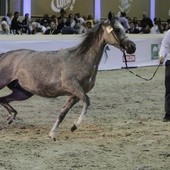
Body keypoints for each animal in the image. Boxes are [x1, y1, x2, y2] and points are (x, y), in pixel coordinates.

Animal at [0, 11, 135, 139]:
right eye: (117, 29)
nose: (132, 47)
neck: (80, 59)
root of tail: (4, 55)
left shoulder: (74, 95)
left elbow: (63, 113)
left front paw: (52, 134)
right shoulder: (73, 87)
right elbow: (87, 101)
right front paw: (75, 125)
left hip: (23, 92)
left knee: (2, 99)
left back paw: (11, 117)